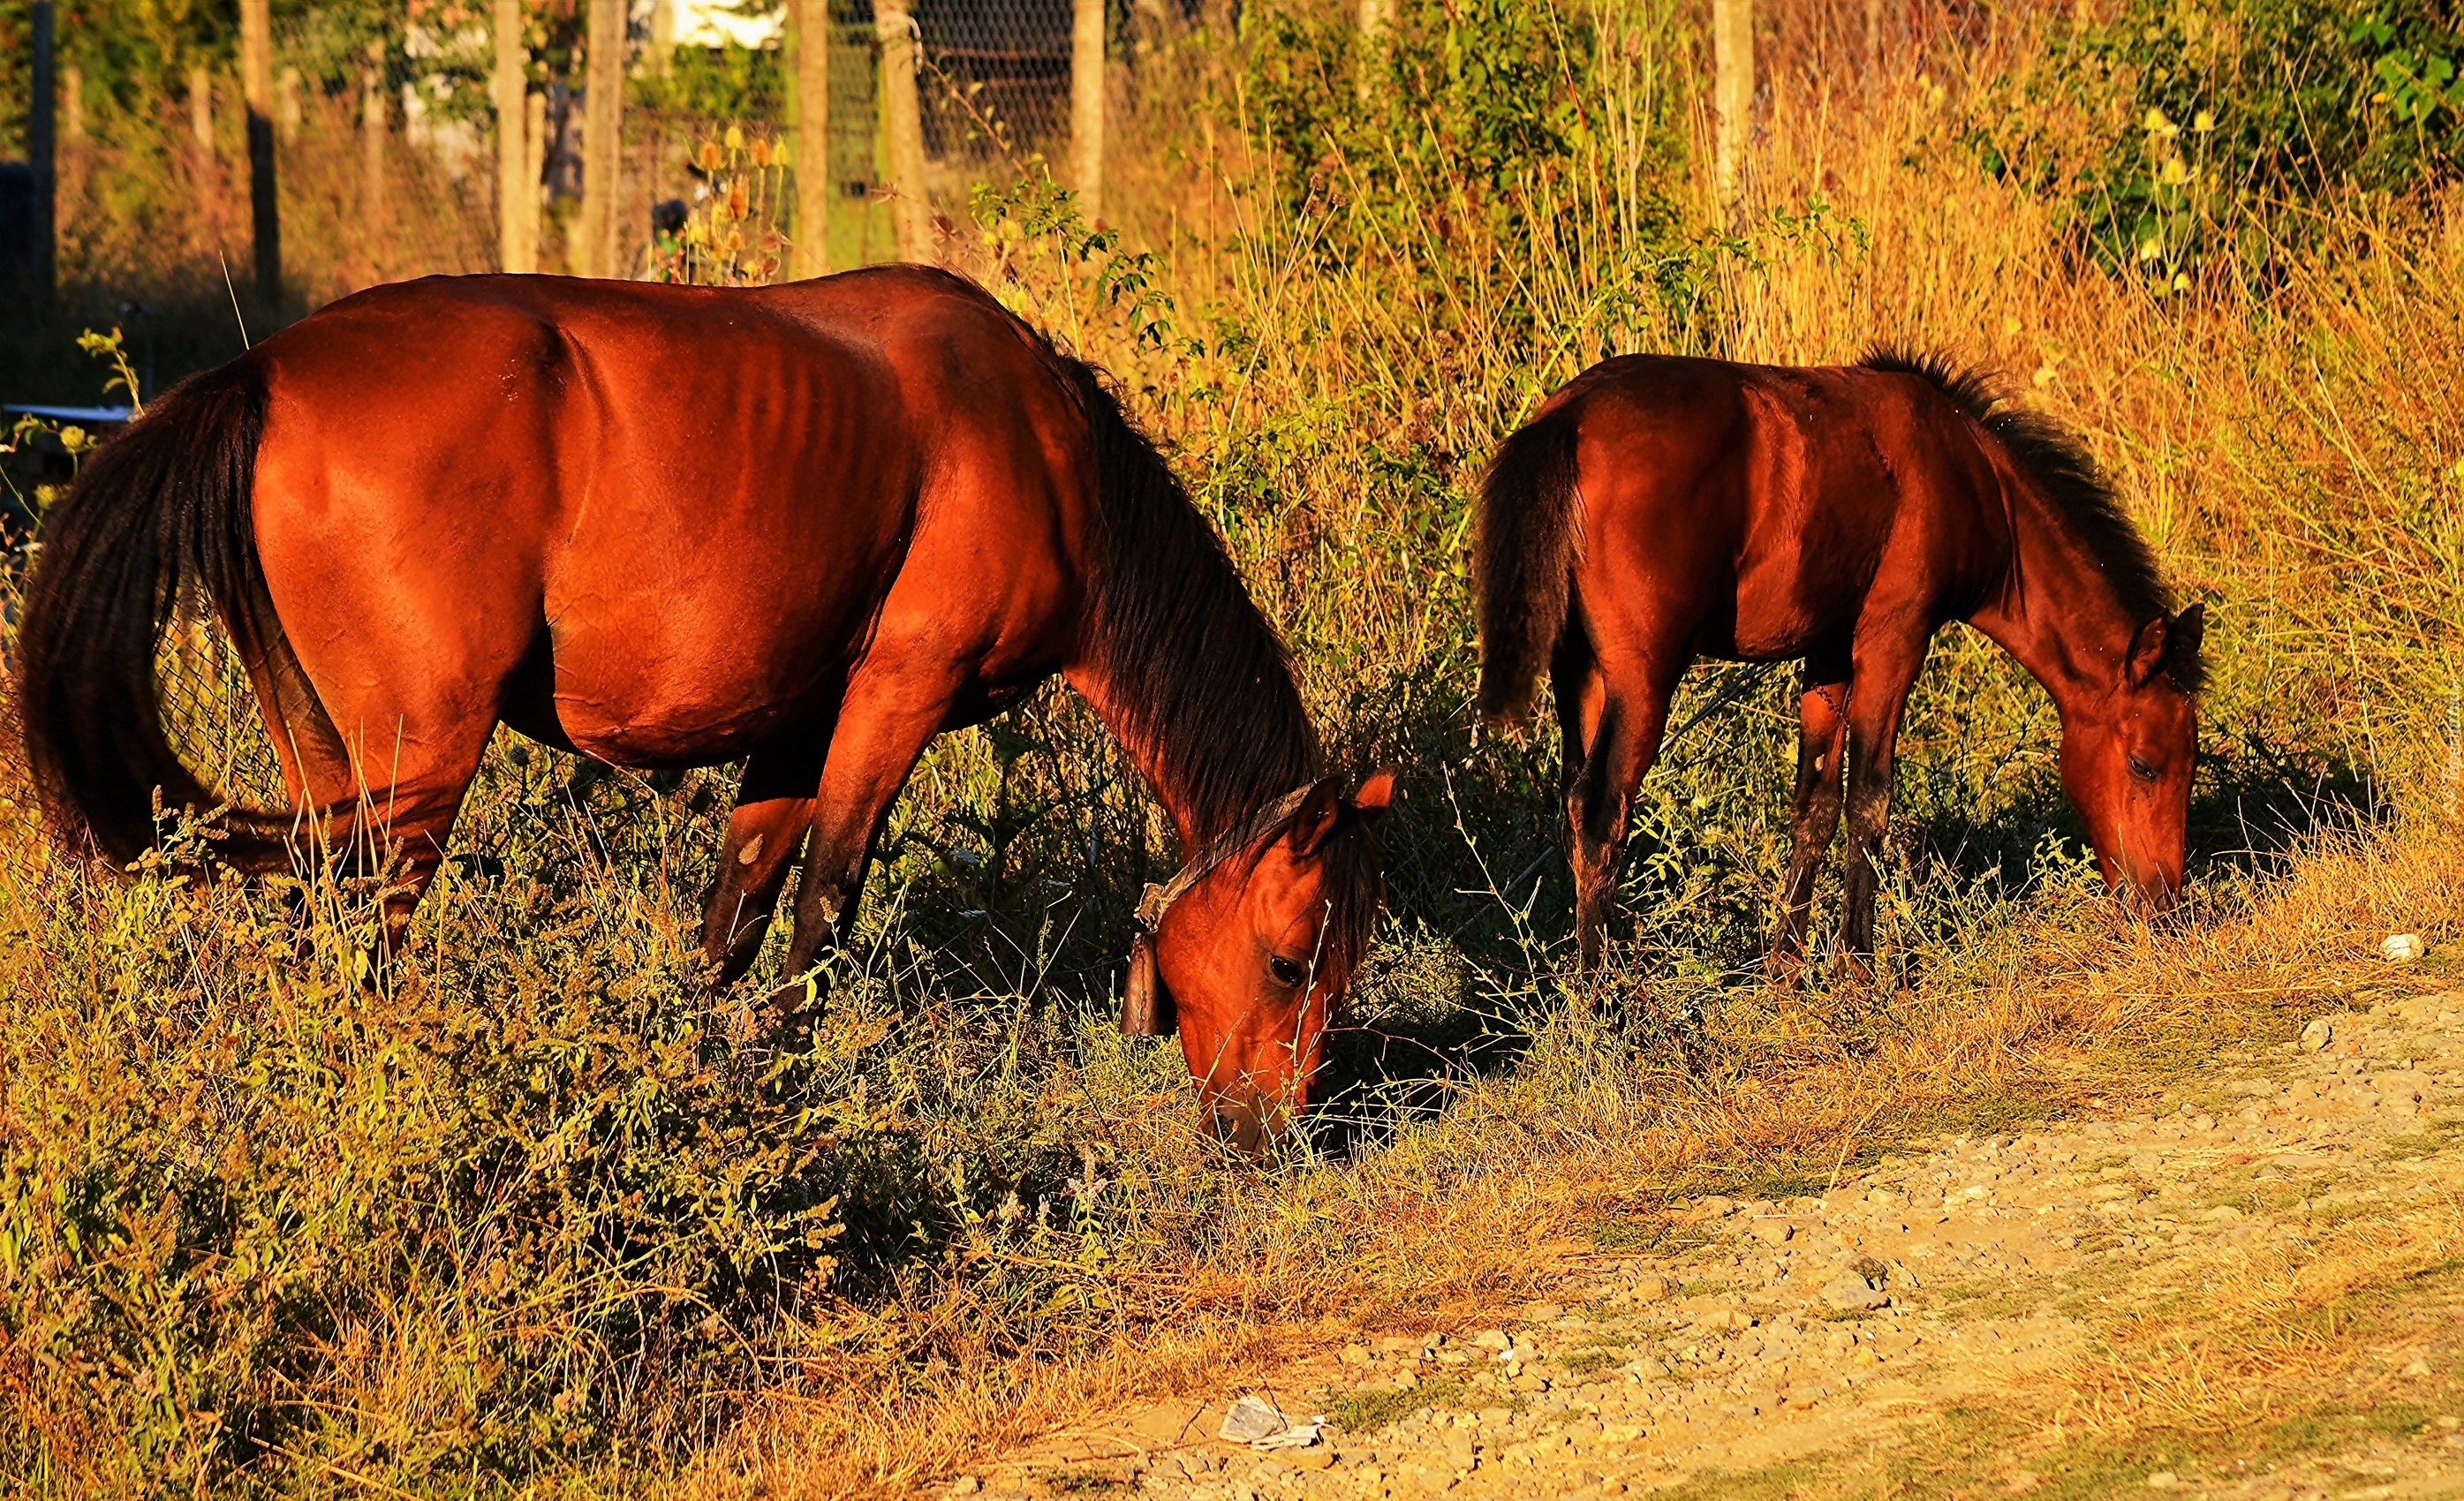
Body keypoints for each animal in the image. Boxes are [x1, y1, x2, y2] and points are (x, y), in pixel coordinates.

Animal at [19, 263, 1389, 1143]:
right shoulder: (893, 698)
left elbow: (731, 919)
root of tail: (263, 371)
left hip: (332, 767)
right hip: (418, 774)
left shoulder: (793, 723)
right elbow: (822, 910)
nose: (1272, 1142)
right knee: (371, 946)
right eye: (1285, 962)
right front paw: (786, 1098)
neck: (1042, 453)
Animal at [1468, 350, 2207, 970]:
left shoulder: (1828, 655)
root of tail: (1568, 419)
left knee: (1574, 803)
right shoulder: (1893, 639)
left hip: (1580, 672)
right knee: (1601, 808)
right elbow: (1869, 798)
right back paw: (1602, 995)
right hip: (1644, 676)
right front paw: (1857, 964)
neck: (1969, 474)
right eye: (2145, 764)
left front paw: (1787, 966)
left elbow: (1815, 804)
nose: (2165, 906)